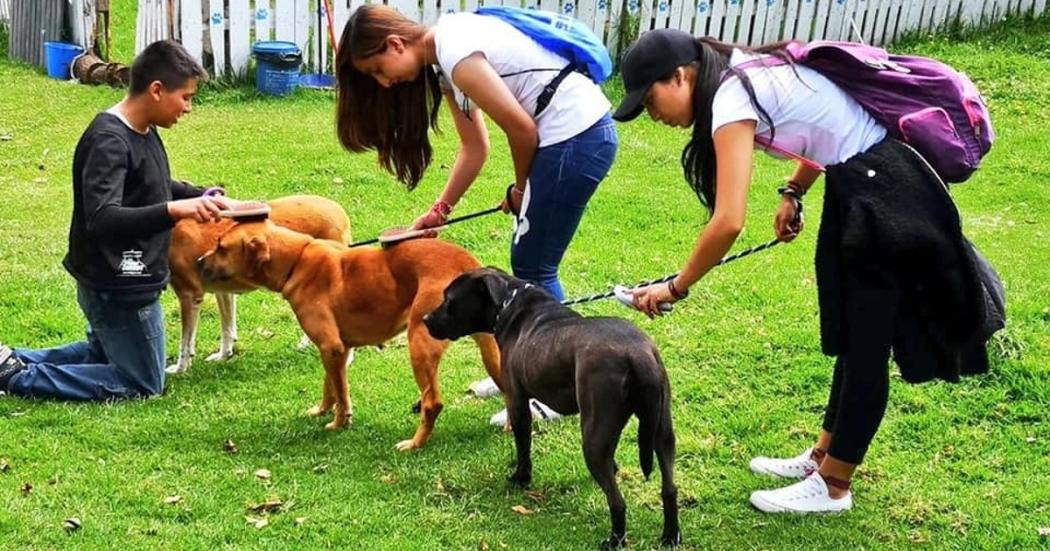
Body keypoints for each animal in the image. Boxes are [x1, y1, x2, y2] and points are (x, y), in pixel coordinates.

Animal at [165, 193, 350, 373]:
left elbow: (185, 342)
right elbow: (227, 329)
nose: (199, 262)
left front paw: (180, 369)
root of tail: (339, 211)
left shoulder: (189, 295)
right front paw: (223, 355)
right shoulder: (223, 292)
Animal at [201, 217, 508, 449]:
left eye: (221, 246)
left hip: (419, 345)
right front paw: (321, 410)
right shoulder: (336, 349)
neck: (296, 260)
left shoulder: (331, 347)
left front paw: (339, 422)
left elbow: (341, 394)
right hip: (492, 352)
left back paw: (414, 444)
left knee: (432, 403)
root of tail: (467, 266)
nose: (198, 261)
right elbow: (330, 386)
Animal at [422, 266, 684, 545]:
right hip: (662, 431)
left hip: (594, 436)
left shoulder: (517, 401)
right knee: (669, 488)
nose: (425, 319)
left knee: (618, 502)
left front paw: (520, 478)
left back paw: (615, 540)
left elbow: (523, 447)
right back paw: (670, 536)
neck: (509, 301)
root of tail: (638, 356)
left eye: (449, 300)